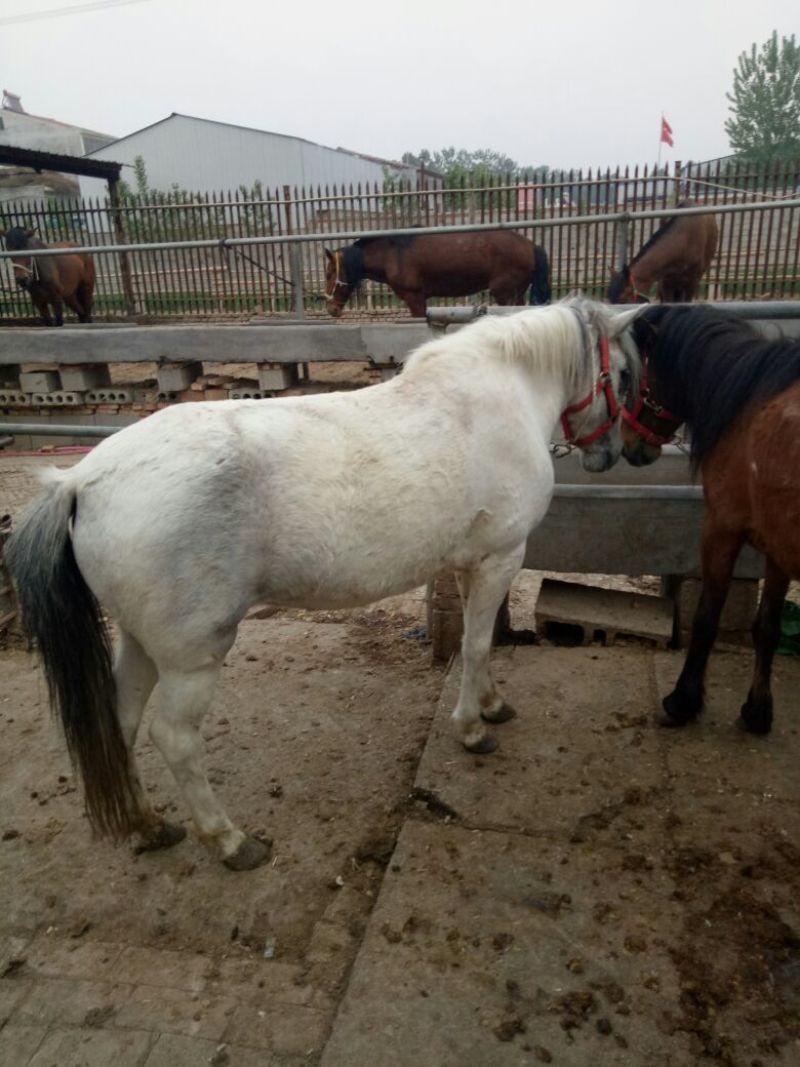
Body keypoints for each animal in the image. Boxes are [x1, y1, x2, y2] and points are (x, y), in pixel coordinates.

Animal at [6, 296, 642, 870]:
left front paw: (491, 705)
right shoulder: (500, 559)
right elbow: (479, 645)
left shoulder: (471, 566)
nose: (623, 453)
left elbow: (474, 645)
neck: (502, 395)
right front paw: (472, 730)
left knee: (120, 720)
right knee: (175, 738)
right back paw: (230, 841)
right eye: (626, 374)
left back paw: (149, 825)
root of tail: (81, 480)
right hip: (190, 658)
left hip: (140, 641)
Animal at [324, 230, 551, 318]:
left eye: (328, 273)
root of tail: (531, 246)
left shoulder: (414, 298)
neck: (394, 253)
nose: (331, 309)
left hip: (505, 294)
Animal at [621, 304, 800, 736]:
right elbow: (767, 626)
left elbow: (707, 618)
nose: (630, 446)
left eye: (630, 374)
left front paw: (681, 701)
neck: (752, 404)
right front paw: (758, 710)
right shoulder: (778, 546)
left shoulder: (721, 529)